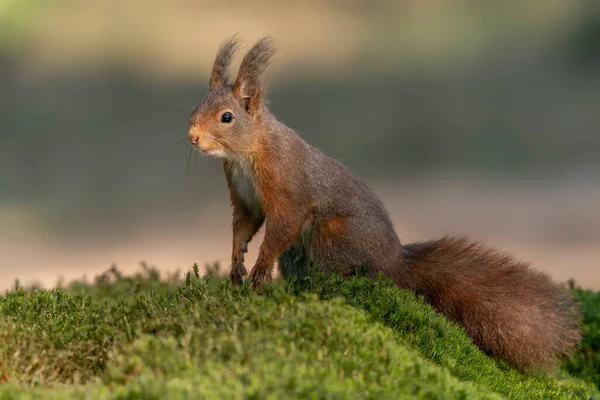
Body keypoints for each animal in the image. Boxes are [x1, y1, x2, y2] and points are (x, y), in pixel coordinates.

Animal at [188, 36, 580, 368]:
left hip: (333, 239)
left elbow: (281, 226)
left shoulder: (286, 187)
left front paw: (258, 269)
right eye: (196, 107)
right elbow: (244, 225)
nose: (192, 137)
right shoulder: (244, 195)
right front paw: (236, 263)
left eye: (226, 117)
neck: (246, 153)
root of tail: (393, 260)